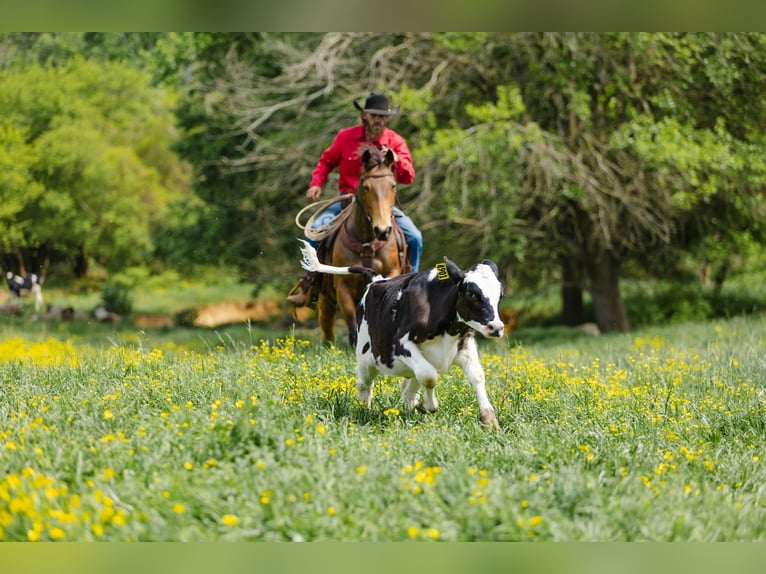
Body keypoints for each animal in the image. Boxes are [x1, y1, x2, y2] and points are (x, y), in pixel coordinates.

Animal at [316, 145, 409, 346]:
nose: (382, 230)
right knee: (327, 325)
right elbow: (352, 325)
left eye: (393, 186)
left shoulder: (391, 273)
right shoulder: (342, 287)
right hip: (325, 298)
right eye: (366, 187)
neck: (367, 242)